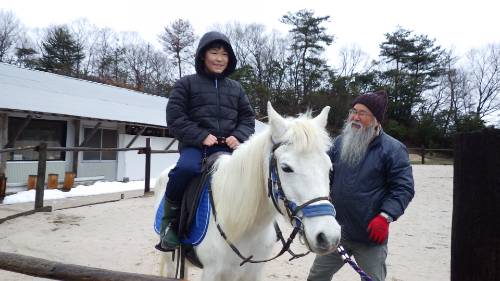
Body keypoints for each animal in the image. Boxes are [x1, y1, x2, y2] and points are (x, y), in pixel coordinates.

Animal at [154, 102, 342, 280]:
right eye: (286, 168)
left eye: (329, 167)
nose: (328, 237)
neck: (245, 228)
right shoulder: (211, 273)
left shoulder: (253, 273)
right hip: (170, 258)